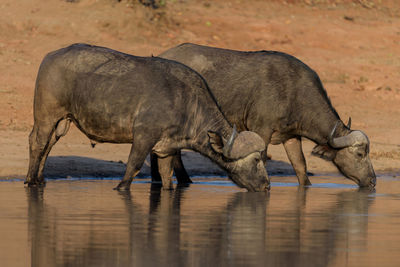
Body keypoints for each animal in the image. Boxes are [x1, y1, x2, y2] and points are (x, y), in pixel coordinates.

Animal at [25, 44, 268, 192]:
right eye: (257, 160)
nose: (267, 185)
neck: (187, 102)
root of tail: (50, 56)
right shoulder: (143, 137)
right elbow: (133, 166)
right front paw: (121, 187)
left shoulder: (167, 149)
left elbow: (167, 177)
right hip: (45, 116)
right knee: (37, 142)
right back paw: (29, 180)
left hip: (62, 121)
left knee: (49, 144)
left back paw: (40, 179)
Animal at [155, 43, 376, 188]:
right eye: (360, 154)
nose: (373, 180)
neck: (294, 92)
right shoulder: (261, 129)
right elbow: (261, 157)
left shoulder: (291, 136)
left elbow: (300, 165)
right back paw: (184, 180)